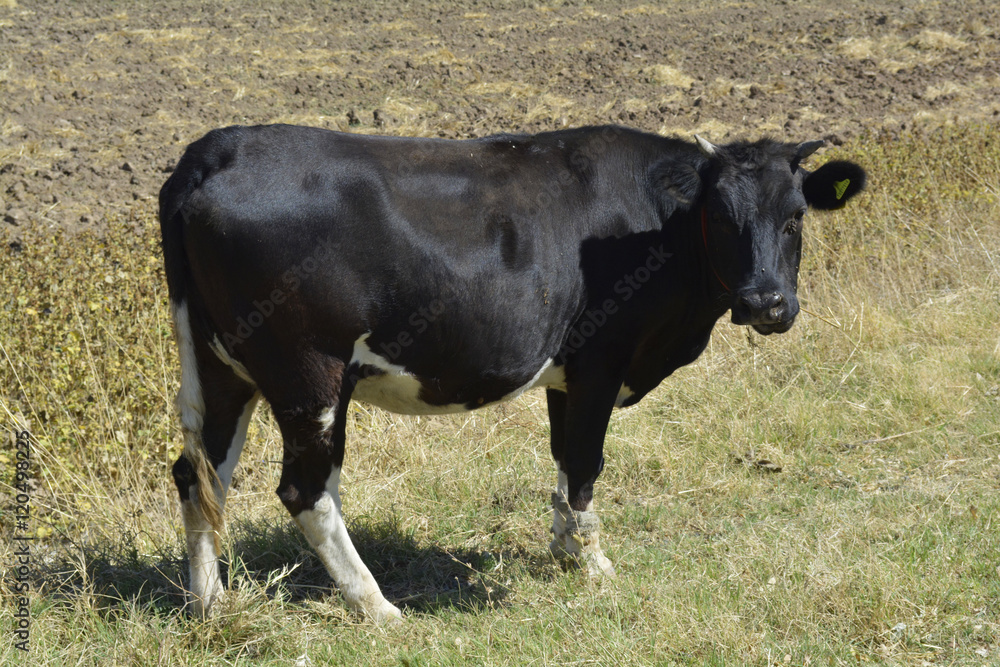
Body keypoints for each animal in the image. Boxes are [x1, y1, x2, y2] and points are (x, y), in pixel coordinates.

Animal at [160, 122, 864, 624]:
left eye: (796, 216)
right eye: (720, 217)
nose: (766, 304)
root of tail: (215, 149)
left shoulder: (567, 373)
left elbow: (563, 462)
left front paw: (565, 548)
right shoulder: (600, 361)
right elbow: (584, 462)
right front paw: (592, 565)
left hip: (223, 365)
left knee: (201, 476)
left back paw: (210, 606)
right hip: (310, 373)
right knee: (305, 491)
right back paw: (377, 607)